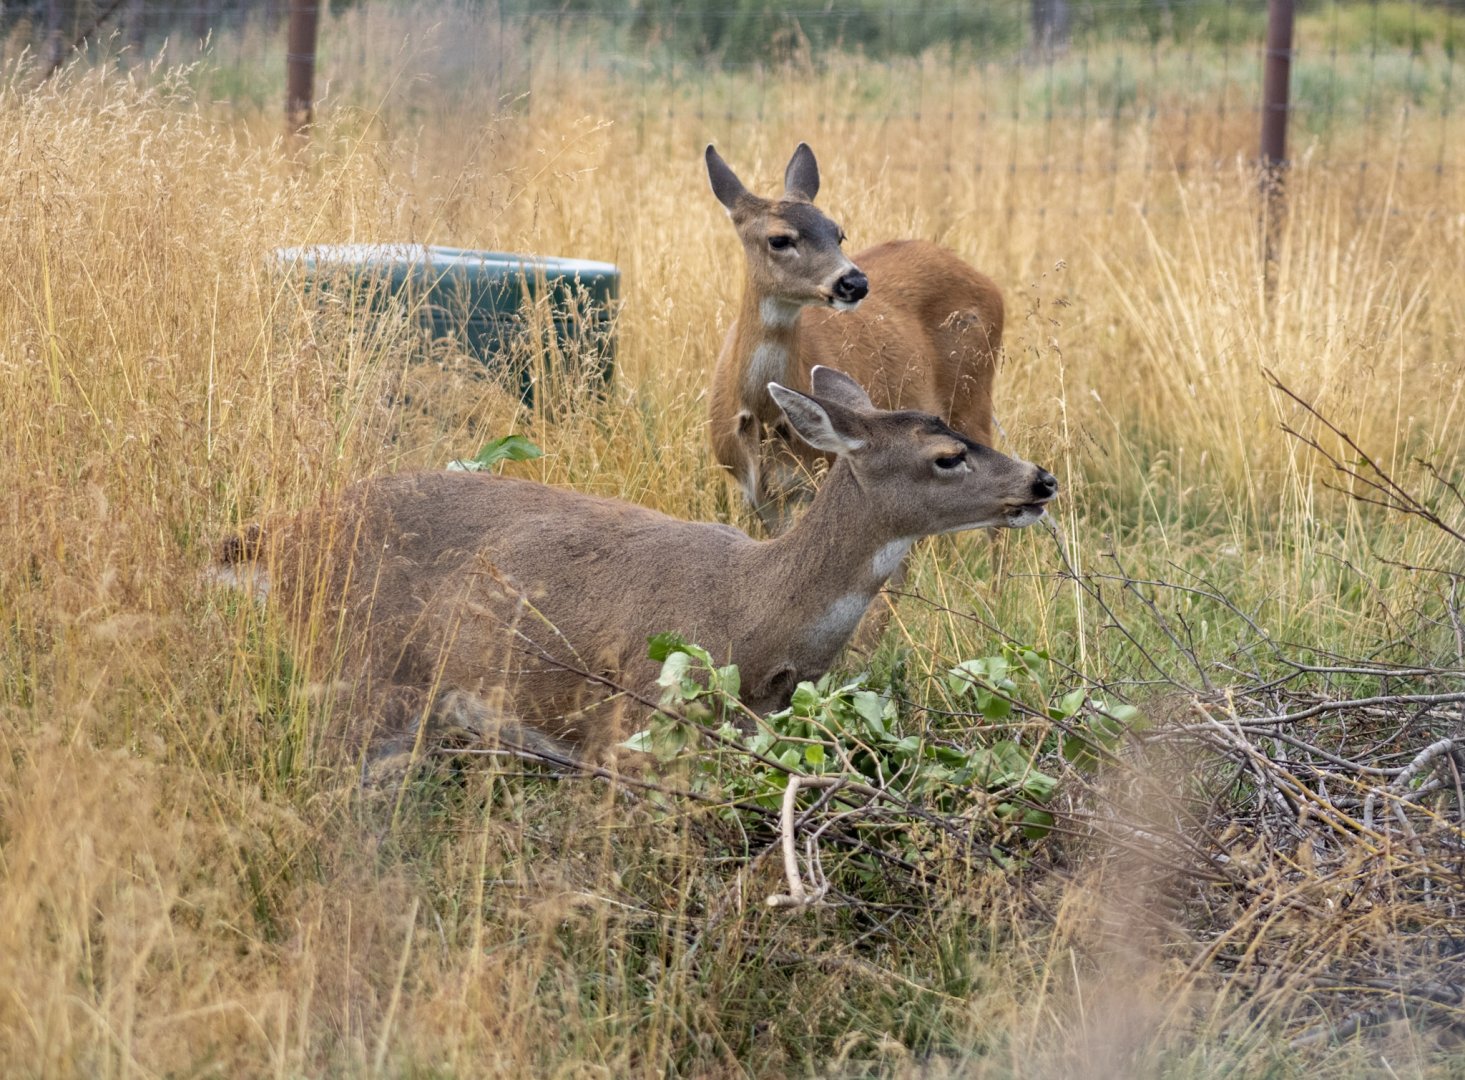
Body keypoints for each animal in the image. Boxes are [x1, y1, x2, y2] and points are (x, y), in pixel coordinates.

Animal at [218, 368, 1057, 763]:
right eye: (946, 455)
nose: (1039, 481)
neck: (756, 616)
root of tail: (278, 534)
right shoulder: (634, 720)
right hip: (357, 663)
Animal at [705, 142, 1005, 534]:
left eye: (838, 234)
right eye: (779, 239)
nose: (854, 282)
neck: (762, 413)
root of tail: (992, 286)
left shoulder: (822, 470)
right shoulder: (752, 491)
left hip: (973, 395)